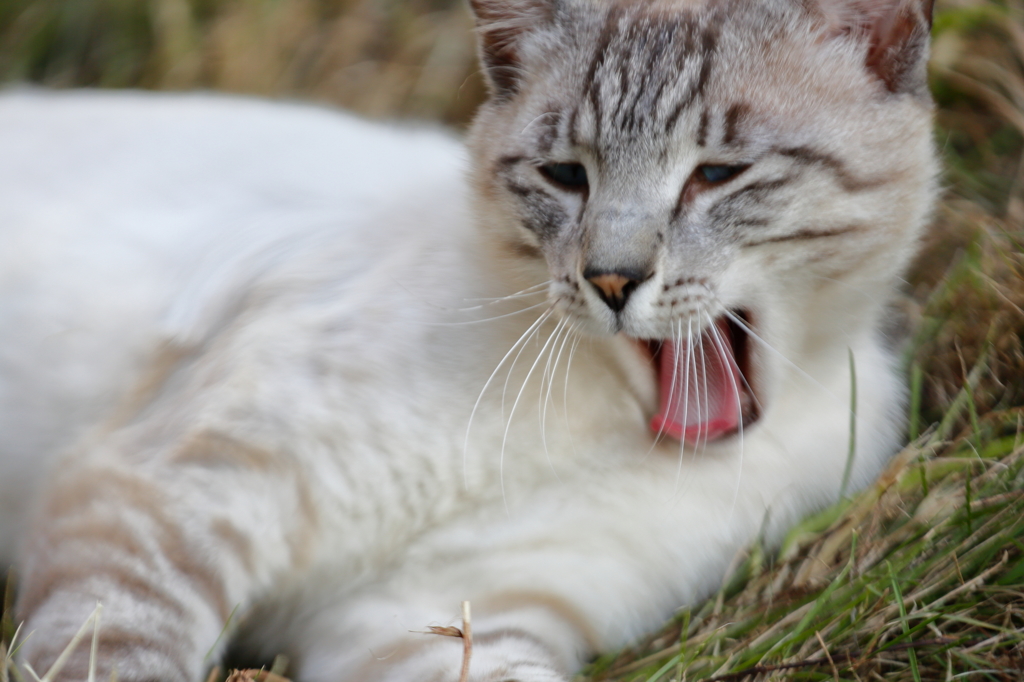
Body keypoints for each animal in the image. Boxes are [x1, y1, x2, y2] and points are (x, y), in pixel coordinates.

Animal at [0, 0, 937, 675]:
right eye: (565, 177)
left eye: (717, 175)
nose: (610, 280)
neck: (605, 424)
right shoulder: (178, 494)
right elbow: (117, 652)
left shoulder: (443, 612)